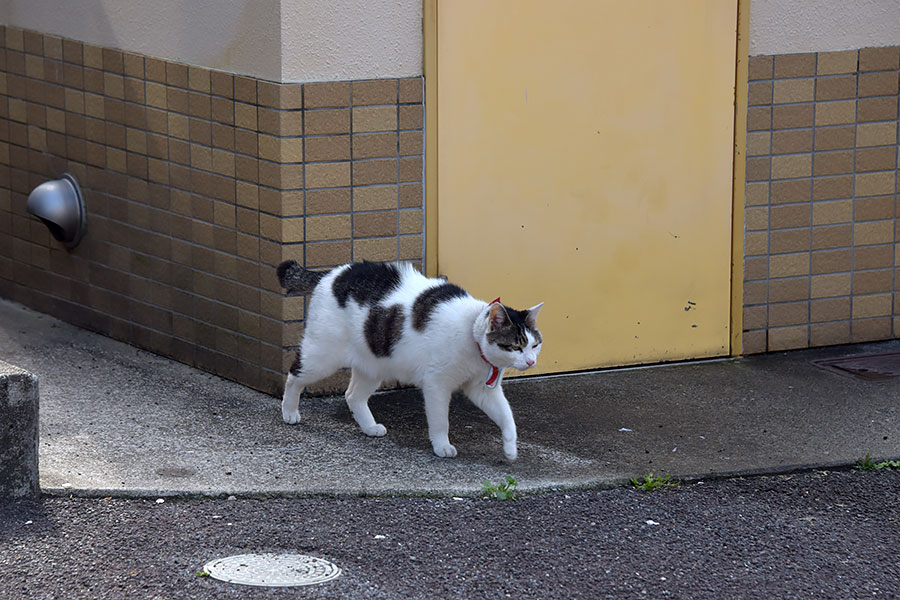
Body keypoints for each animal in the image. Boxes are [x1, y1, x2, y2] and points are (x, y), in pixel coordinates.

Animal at [274, 258, 540, 460]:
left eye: (535, 345)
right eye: (516, 347)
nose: (531, 362)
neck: (471, 333)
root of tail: (332, 273)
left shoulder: (482, 390)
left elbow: (507, 417)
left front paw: (510, 448)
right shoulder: (437, 384)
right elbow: (440, 420)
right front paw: (442, 446)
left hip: (372, 364)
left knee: (353, 396)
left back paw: (370, 427)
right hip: (322, 356)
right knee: (295, 375)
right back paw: (289, 411)